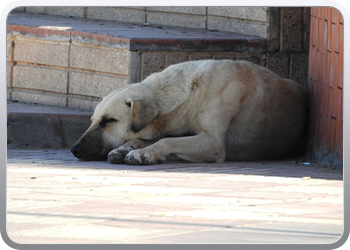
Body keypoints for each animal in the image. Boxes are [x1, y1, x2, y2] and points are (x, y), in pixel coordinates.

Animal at [71, 59, 306, 165]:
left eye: (109, 121)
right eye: (92, 120)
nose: (75, 149)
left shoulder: (213, 143)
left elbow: (167, 141)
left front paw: (143, 152)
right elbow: (152, 138)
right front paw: (127, 147)